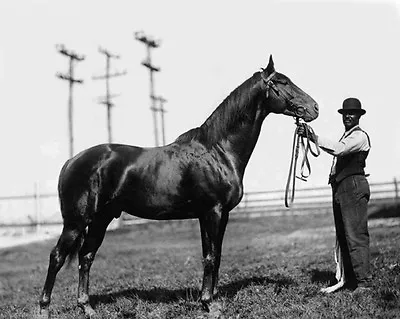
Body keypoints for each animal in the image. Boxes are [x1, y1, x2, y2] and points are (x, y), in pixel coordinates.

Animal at [38, 55, 318, 318]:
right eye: (282, 82)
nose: (314, 108)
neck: (218, 150)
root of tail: (71, 161)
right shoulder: (213, 212)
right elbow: (211, 256)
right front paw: (209, 303)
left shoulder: (216, 214)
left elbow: (214, 255)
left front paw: (212, 299)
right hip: (76, 222)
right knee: (57, 256)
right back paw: (44, 308)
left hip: (101, 219)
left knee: (86, 256)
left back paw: (87, 307)